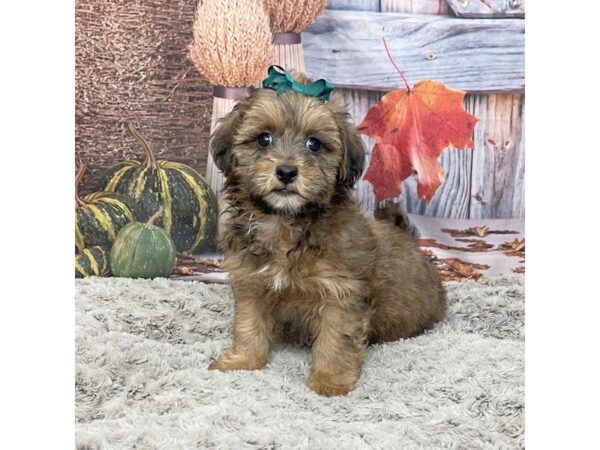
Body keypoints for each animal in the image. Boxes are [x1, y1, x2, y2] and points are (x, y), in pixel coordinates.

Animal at [206, 77, 446, 398]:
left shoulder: (341, 294)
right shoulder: (251, 281)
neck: (286, 223)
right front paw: (242, 361)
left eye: (314, 144)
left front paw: (330, 381)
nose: (286, 171)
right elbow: (249, 323)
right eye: (263, 139)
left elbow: (336, 340)